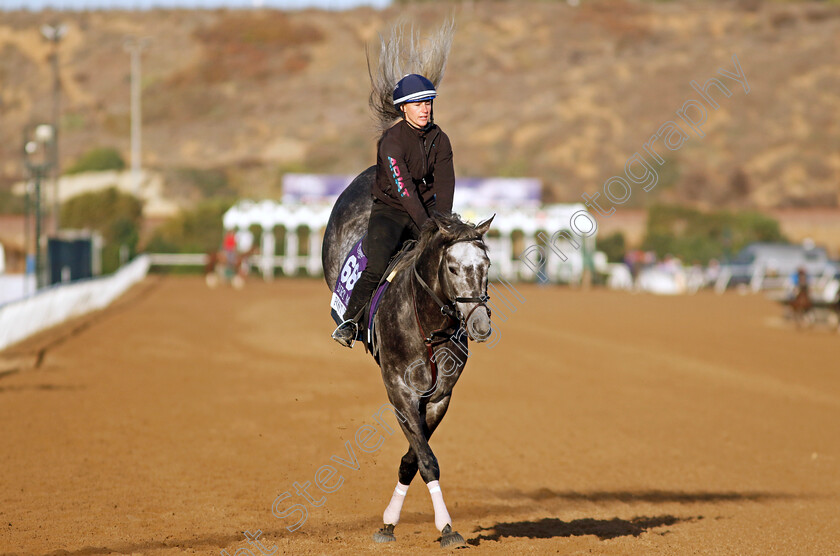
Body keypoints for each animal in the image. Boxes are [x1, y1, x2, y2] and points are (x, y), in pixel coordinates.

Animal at [320, 166, 492, 548]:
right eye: (453, 268)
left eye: (486, 264)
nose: (480, 324)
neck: (427, 323)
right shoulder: (400, 390)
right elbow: (426, 460)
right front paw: (445, 526)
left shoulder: (439, 397)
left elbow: (414, 459)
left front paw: (391, 521)